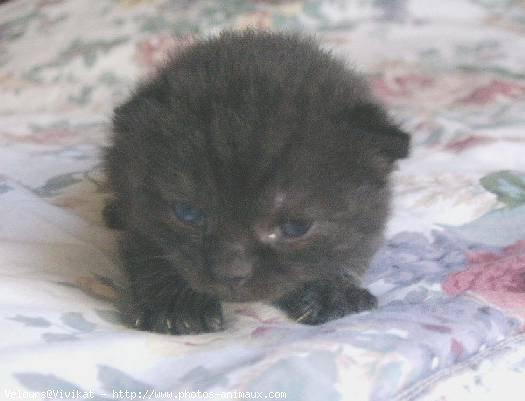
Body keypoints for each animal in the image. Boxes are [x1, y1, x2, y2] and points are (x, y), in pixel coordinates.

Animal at [104, 29, 408, 332]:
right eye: (188, 213)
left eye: (296, 227)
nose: (231, 273)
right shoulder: (136, 209)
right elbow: (149, 249)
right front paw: (177, 304)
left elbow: (349, 251)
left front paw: (332, 292)